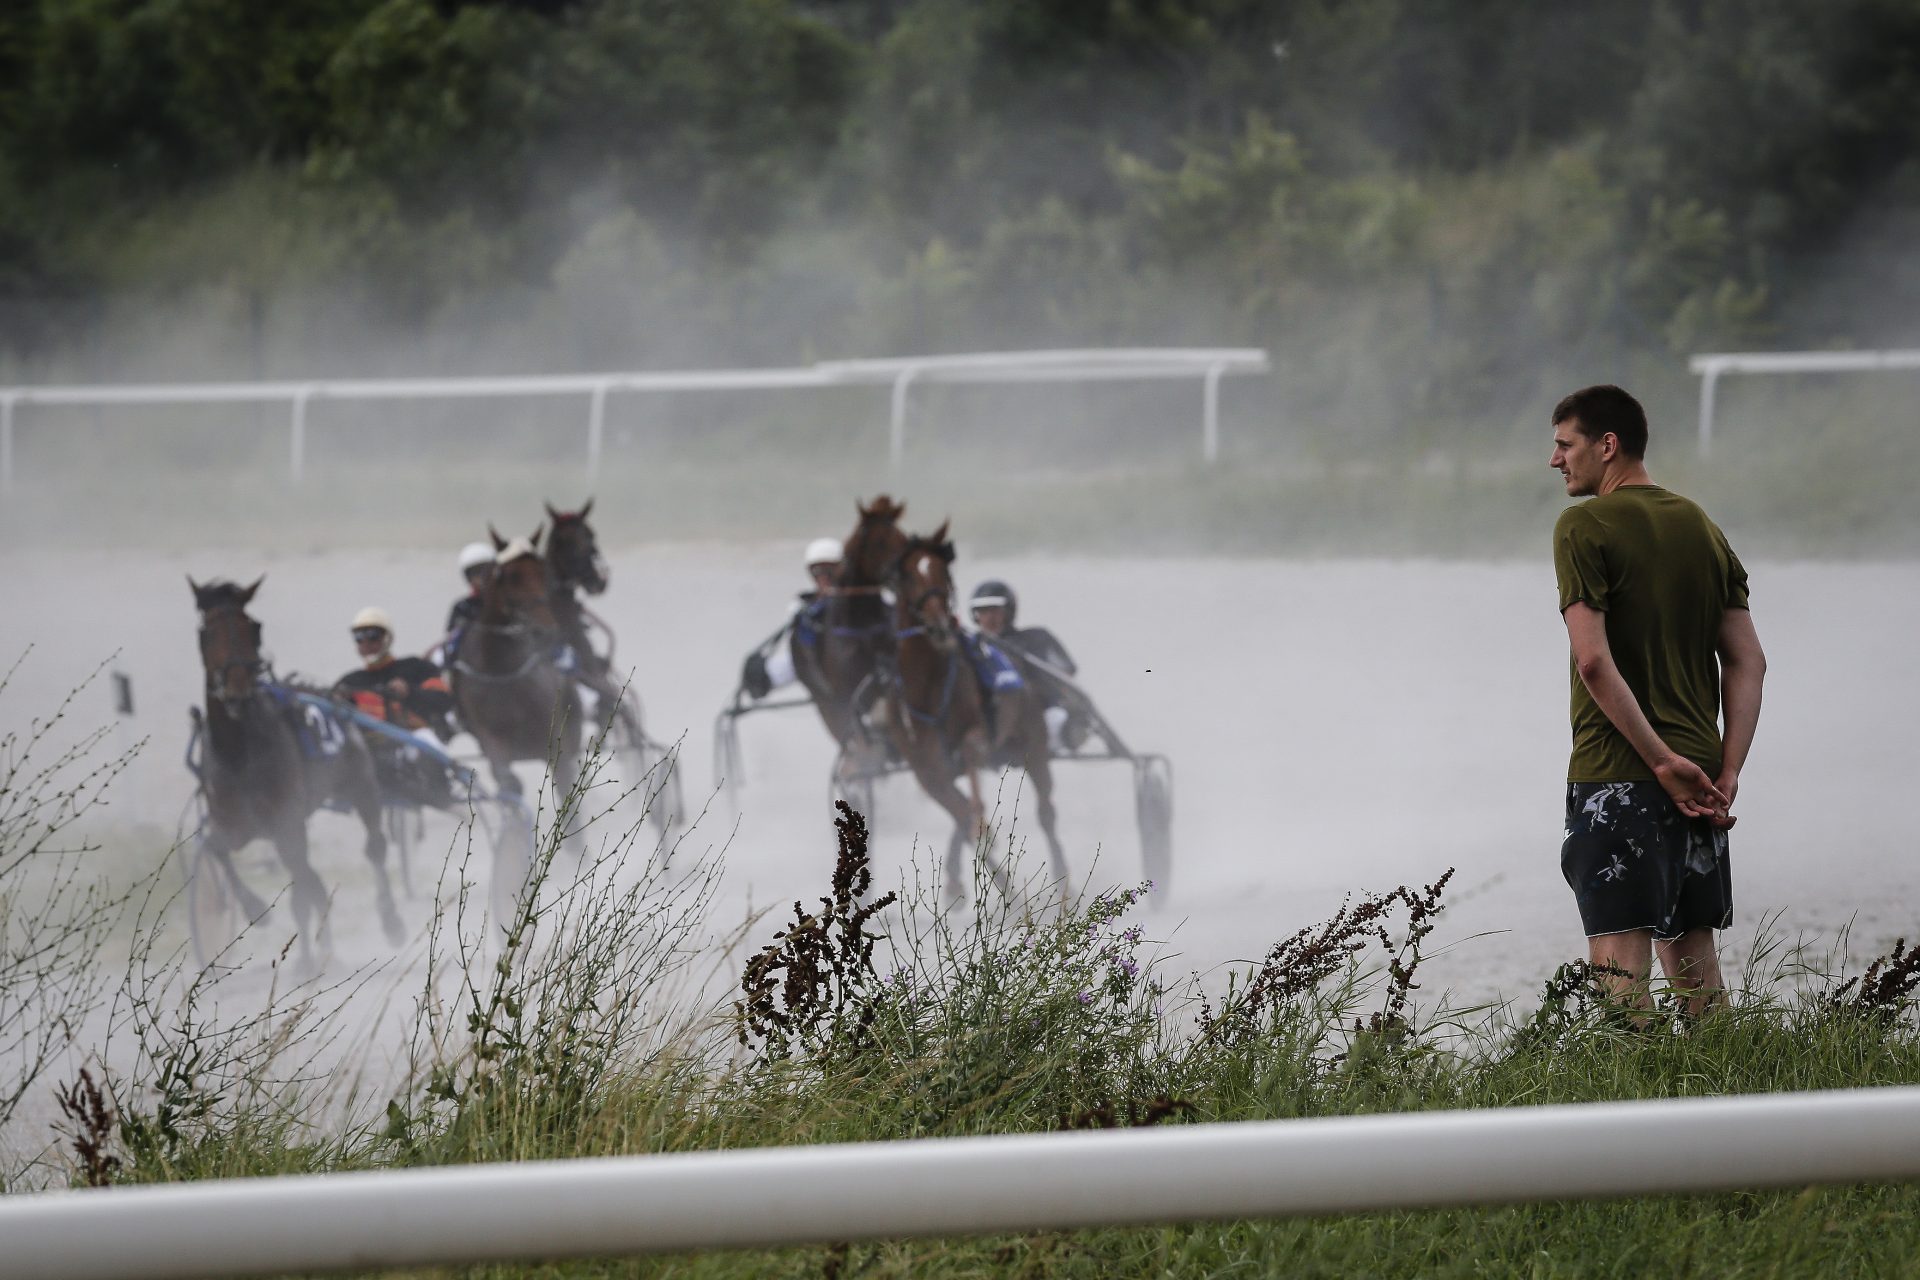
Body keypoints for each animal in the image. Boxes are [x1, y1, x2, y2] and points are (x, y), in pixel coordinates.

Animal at [187, 579, 405, 951]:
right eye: (207, 631)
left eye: (252, 627)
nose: (237, 691)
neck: (239, 752)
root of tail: (334, 697)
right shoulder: (231, 822)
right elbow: (216, 848)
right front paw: (256, 908)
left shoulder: (286, 823)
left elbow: (302, 888)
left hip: (361, 785)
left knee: (374, 847)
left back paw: (391, 920)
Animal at [445, 533, 579, 821]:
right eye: (510, 575)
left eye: (542, 573)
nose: (543, 631)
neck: (501, 672)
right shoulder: (488, 735)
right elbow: (508, 782)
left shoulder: (553, 733)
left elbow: (564, 779)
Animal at [794, 495, 913, 775]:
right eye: (879, 541)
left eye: (903, 538)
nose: (905, 576)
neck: (862, 626)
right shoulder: (845, 692)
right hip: (824, 702)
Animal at [879, 529, 1067, 901]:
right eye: (906, 575)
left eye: (943, 572)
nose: (938, 625)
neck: (927, 685)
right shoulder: (926, 769)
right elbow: (962, 815)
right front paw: (1005, 889)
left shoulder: (977, 736)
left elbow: (971, 782)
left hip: (1033, 743)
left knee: (1047, 811)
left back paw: (1063, 883)